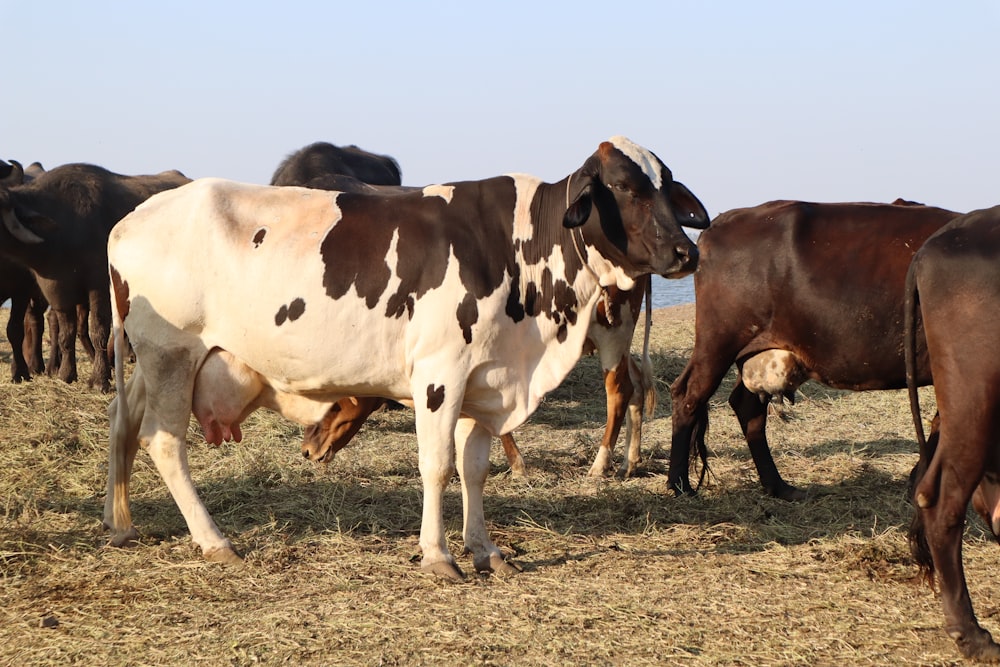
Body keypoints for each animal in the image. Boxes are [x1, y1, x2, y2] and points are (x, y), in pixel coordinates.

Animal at [668, 201, 956, 498]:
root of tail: (724, 220)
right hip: (720, 339)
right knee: (688, 394)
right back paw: (680, 485)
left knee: (747, 407)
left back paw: (778, 486)